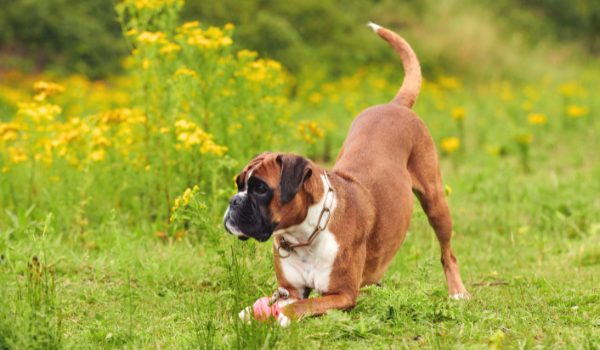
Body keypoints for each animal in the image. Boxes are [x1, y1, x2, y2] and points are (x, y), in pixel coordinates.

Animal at [223, 23, 472, 326]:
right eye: (239, 185)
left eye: (260, 189)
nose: (234, 201)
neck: (305, 234)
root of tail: (395, 104)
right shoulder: (290, 290)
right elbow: (273, 303)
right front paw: (248, 313)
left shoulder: (342, 295)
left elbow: (301, 306)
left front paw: (281, 317)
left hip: (436, 204)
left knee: (448, 253)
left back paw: (457, 292)